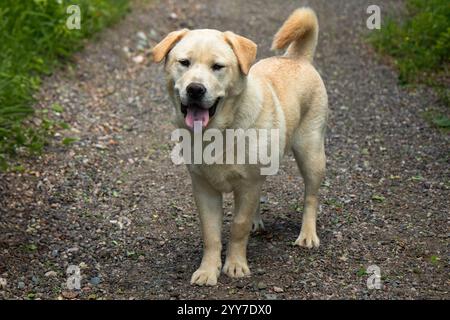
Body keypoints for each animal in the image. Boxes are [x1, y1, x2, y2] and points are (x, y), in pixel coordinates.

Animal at [151, 8, 326, 288]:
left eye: (217, 67)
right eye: (184, 62)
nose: (195, 89)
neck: (217, 132)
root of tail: (297, 58)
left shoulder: (248, 184)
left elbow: (238, 226)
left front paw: (235, 265)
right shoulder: (204, 188)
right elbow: (211, 234)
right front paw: (208, 270)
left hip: (311, 154)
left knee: (310, 197)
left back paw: (307, 234)